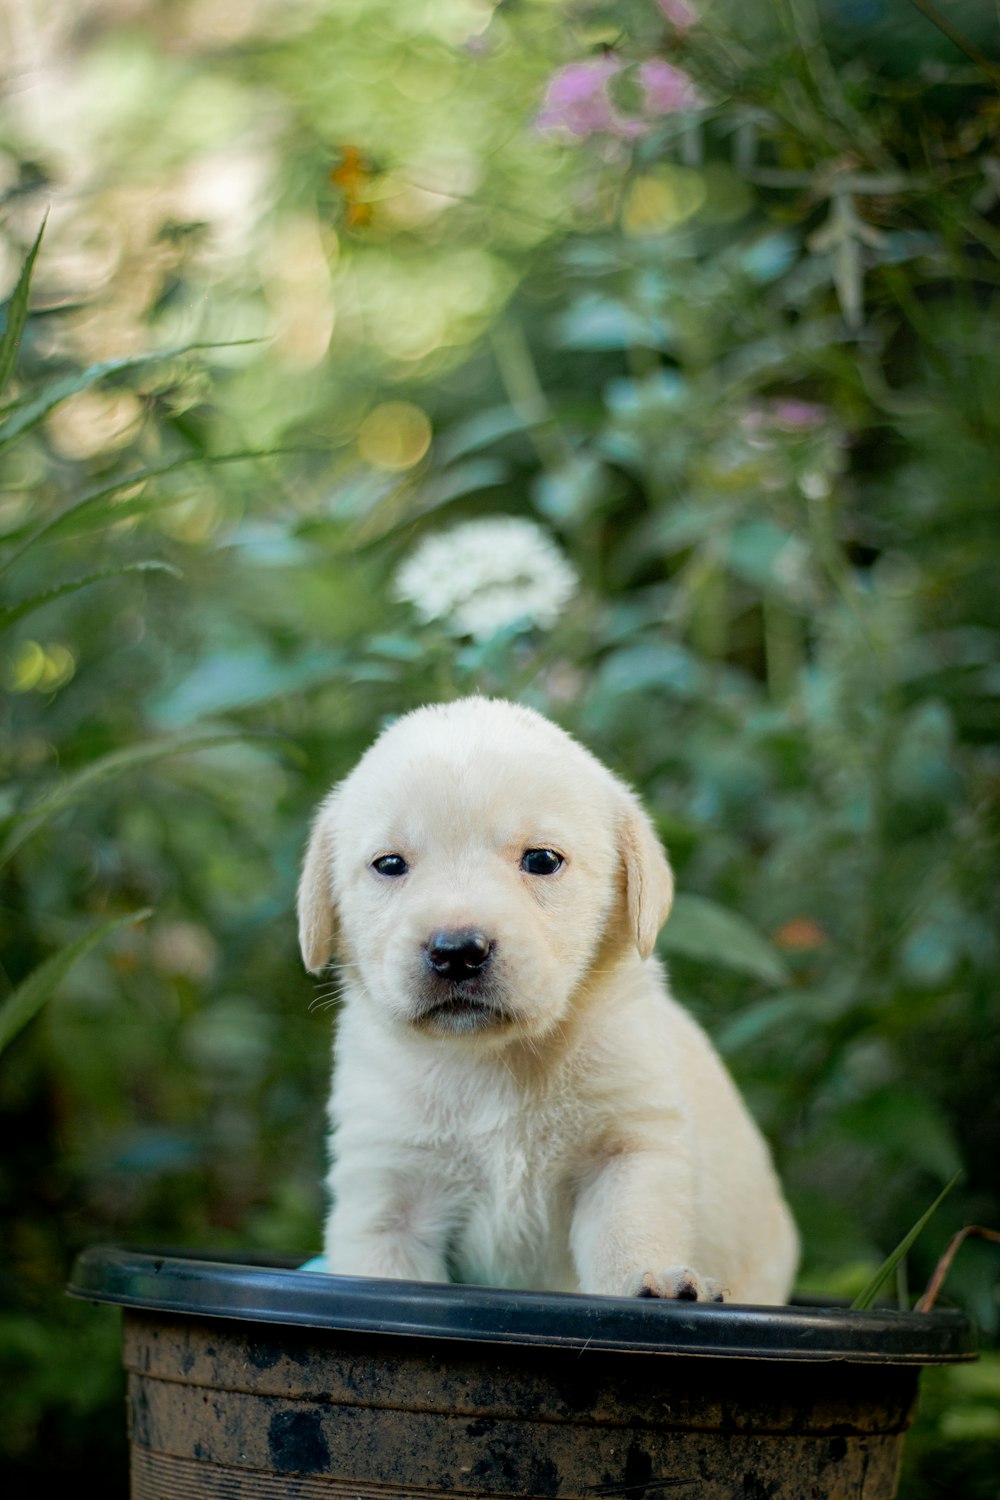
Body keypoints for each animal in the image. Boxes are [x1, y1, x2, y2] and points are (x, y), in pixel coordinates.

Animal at [296, 699, 797, 1302]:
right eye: (390, 864)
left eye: (541, 860)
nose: (457, 952)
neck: (492, 1064)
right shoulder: (387, 1198)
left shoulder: (628, 1151)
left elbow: (629, 1231)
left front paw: (651, 1279)